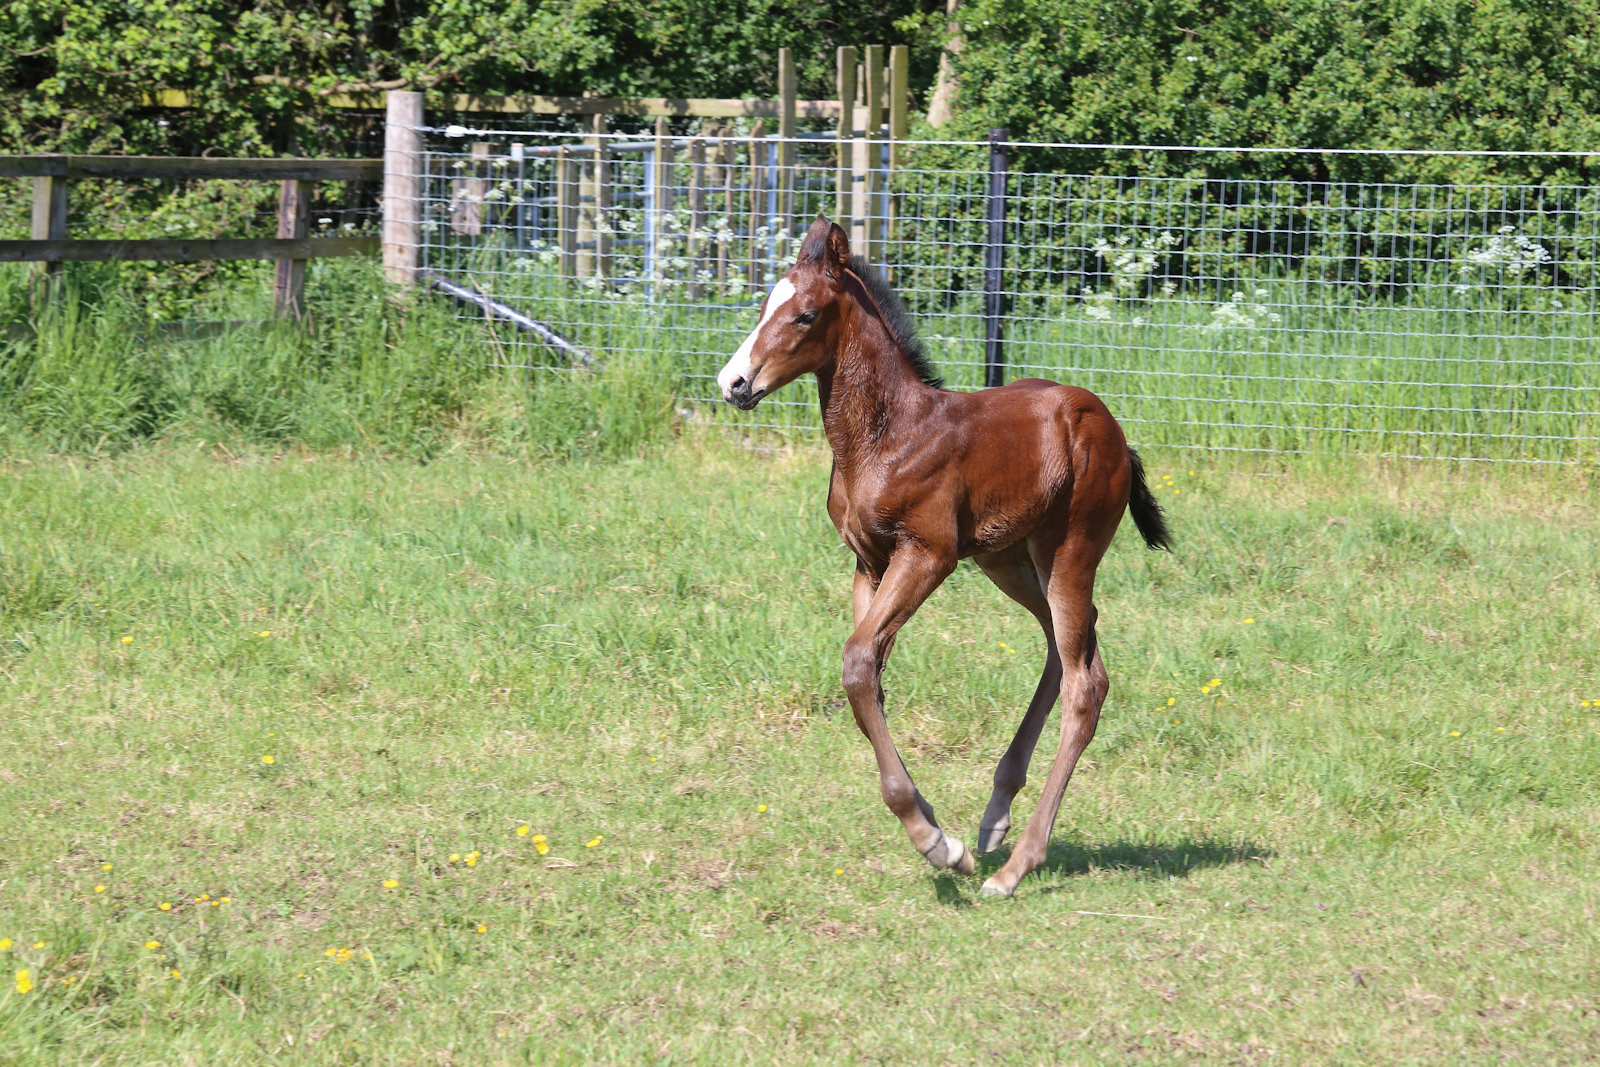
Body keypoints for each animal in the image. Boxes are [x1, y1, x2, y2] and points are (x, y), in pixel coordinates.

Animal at [716, 216, 1171, 898]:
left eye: (805, 314)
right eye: (766, 304)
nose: (735, 383)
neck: (887, 435)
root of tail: (1113, 429)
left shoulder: (928, 554)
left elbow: (857, 662)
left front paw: (938, 845)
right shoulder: (869, 564)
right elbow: (868, 674)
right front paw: (940, 832)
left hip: (1070, 551)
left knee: (1085, 682)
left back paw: (1014, 866)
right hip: (1008, 558)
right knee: (1064, 648)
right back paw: (994, 818)